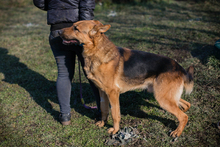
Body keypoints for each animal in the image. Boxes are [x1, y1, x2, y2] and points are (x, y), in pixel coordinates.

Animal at [58, 20, 194, 138]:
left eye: (76, 28)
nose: (58, 31)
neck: (96, 50)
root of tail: (179, 67)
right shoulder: (103, 92)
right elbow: (104, 109)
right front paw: (102, 123)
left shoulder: (113, 93)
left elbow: (115, 114)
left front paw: (115, 130)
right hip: (165, 95)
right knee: (186, 105)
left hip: (162, 98)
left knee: (183, 116)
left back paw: (177, 132)